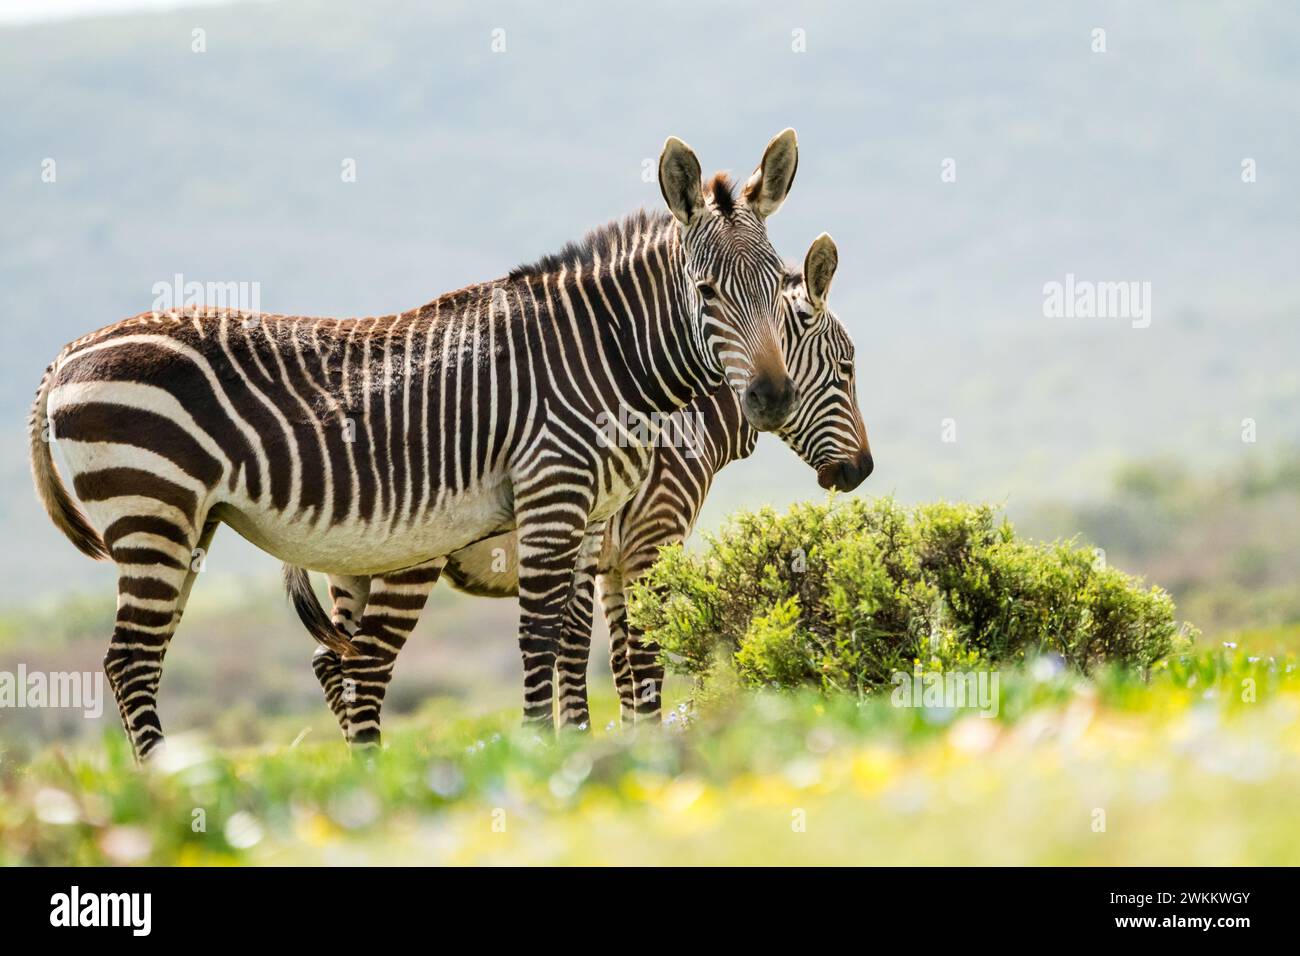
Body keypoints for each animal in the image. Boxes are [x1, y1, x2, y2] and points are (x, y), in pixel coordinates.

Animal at [28, 130, 806, 762]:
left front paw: (570, 745)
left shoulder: (591, 517)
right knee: (132, 662)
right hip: (152, 506)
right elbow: (540, 634)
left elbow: (571, 639)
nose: (772, 397)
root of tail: (72, 349)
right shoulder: (552, 493)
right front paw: (538, 753)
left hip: (189, 524)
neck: (605, 355)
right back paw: (170, 786)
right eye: (706, 291)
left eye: (780, 288)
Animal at [290, 231, 870, 735]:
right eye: (845, 367)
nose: (862, 470)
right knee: (366, 664)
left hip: (351, 565)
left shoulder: (613, 560)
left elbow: (616, 662)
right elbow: (642, 653)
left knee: (330, 661)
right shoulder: (653, 535)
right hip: (409, 557)